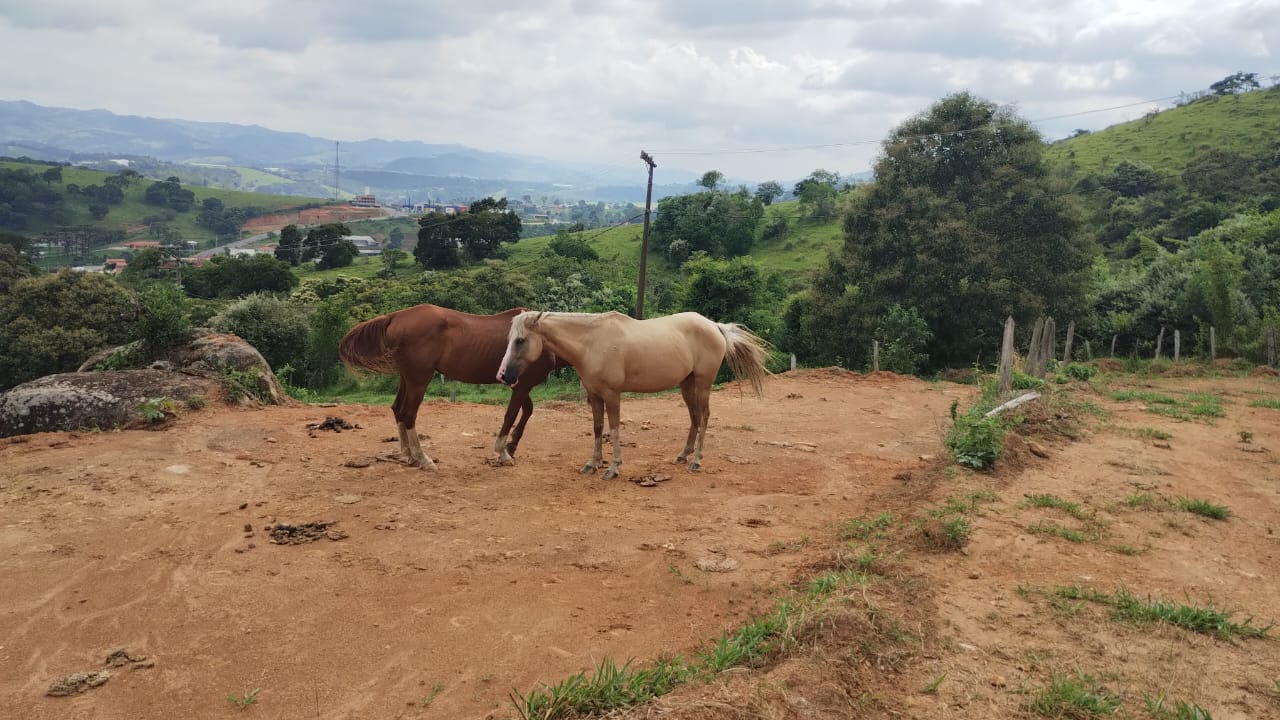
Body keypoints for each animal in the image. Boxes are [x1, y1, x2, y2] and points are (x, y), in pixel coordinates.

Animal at [337, 303, 563, 468]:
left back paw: (408, 456)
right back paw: (423, 459)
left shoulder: (517, 384)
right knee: (409, 414)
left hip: (407, 378)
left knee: (398, 409)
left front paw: (511, 446)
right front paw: (504, 452)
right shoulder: (522, 384)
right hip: (419, 379)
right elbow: (512, 414)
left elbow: (526, 410)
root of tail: (396, 316)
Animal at [494, 308, 762, 476]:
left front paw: (613, 468)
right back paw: (683, 455)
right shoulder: (595, 395)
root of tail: (714, 326)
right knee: (694, 418)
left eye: (520, 340)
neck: (592, 343)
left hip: (703, 384)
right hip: (687, 385)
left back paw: (696, 461)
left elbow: (614, 429)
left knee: (704, 417)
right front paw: (592, 464)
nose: (504, 375)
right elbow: (598, 428)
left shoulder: (612, 395)